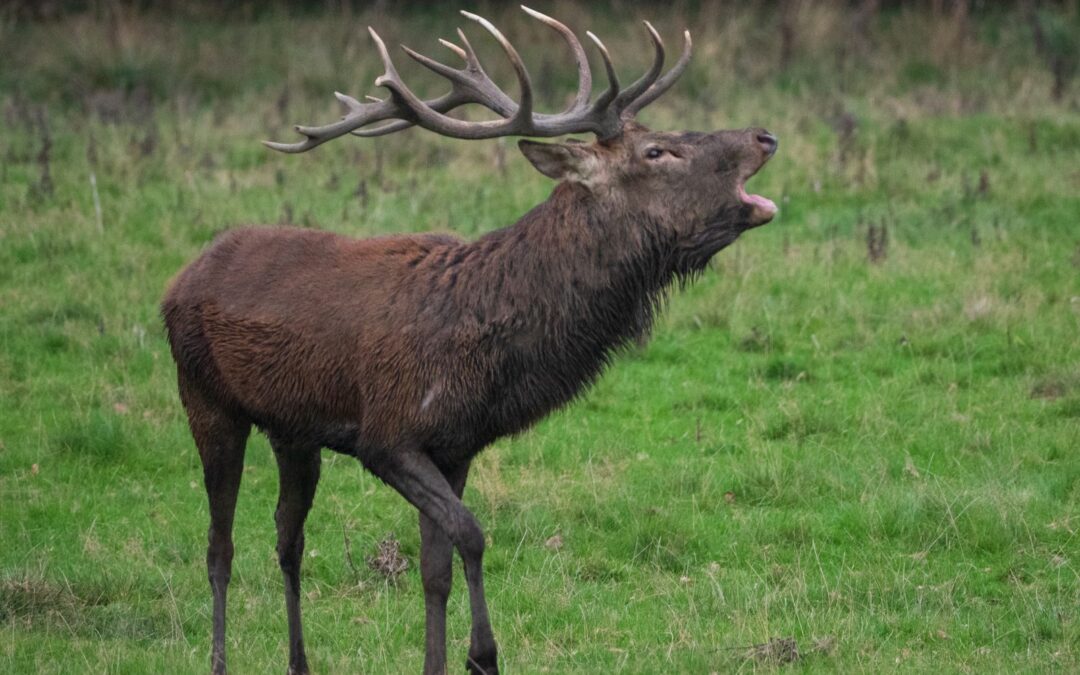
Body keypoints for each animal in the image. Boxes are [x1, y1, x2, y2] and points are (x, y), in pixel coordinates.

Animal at [162, 7, 778, 675]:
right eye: (656, 150)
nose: (764, 137)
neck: (486, 349)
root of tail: (180, 277)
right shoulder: (388, 435)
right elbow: (472, 535)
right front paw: (483, 653)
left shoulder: (454, 447)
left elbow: (435, 571)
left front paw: (437, 660)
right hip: (205, 397)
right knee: (219, 545)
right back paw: (219, 658)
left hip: (292, 429)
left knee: (287, 536)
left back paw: (299, 662)